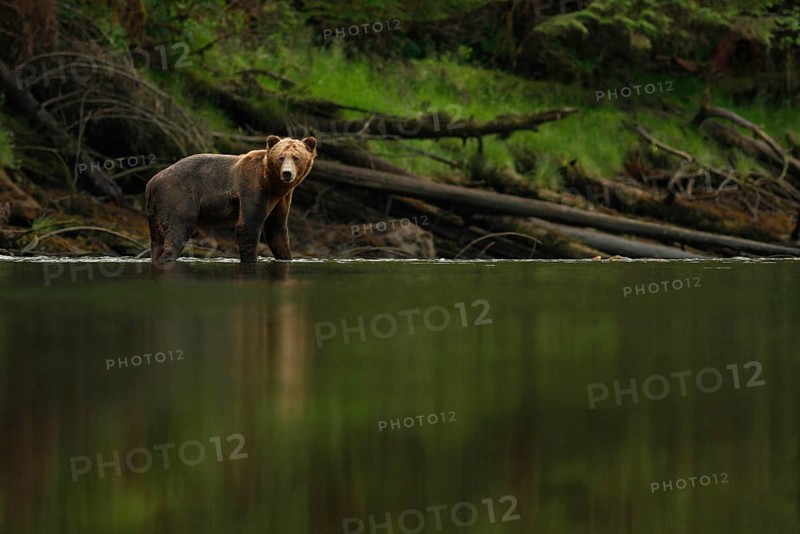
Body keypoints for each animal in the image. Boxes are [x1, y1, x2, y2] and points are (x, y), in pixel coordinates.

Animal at [145, 135, 317, 263]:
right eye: (281, 157)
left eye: (296, 157)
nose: (287, 173)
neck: (273, 184)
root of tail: (153, 181)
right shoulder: (253, 187)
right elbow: (249, 225)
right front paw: (250, 258)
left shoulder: (281, 199)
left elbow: (277, 230)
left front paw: (287, 257)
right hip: (178, 195)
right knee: (178, 229)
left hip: (155, 211)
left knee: (157, 239)